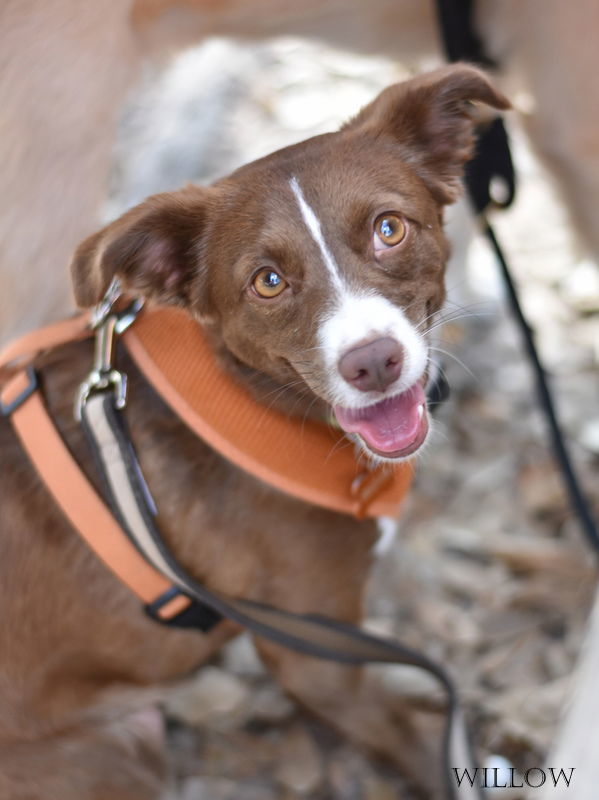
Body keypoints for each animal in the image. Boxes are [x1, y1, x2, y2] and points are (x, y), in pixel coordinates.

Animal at [0, 65, 510, 796]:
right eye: (267, 281)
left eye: (389, 228)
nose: (373, 361)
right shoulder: (317, 657)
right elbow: (405, 732)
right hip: (111, 757)